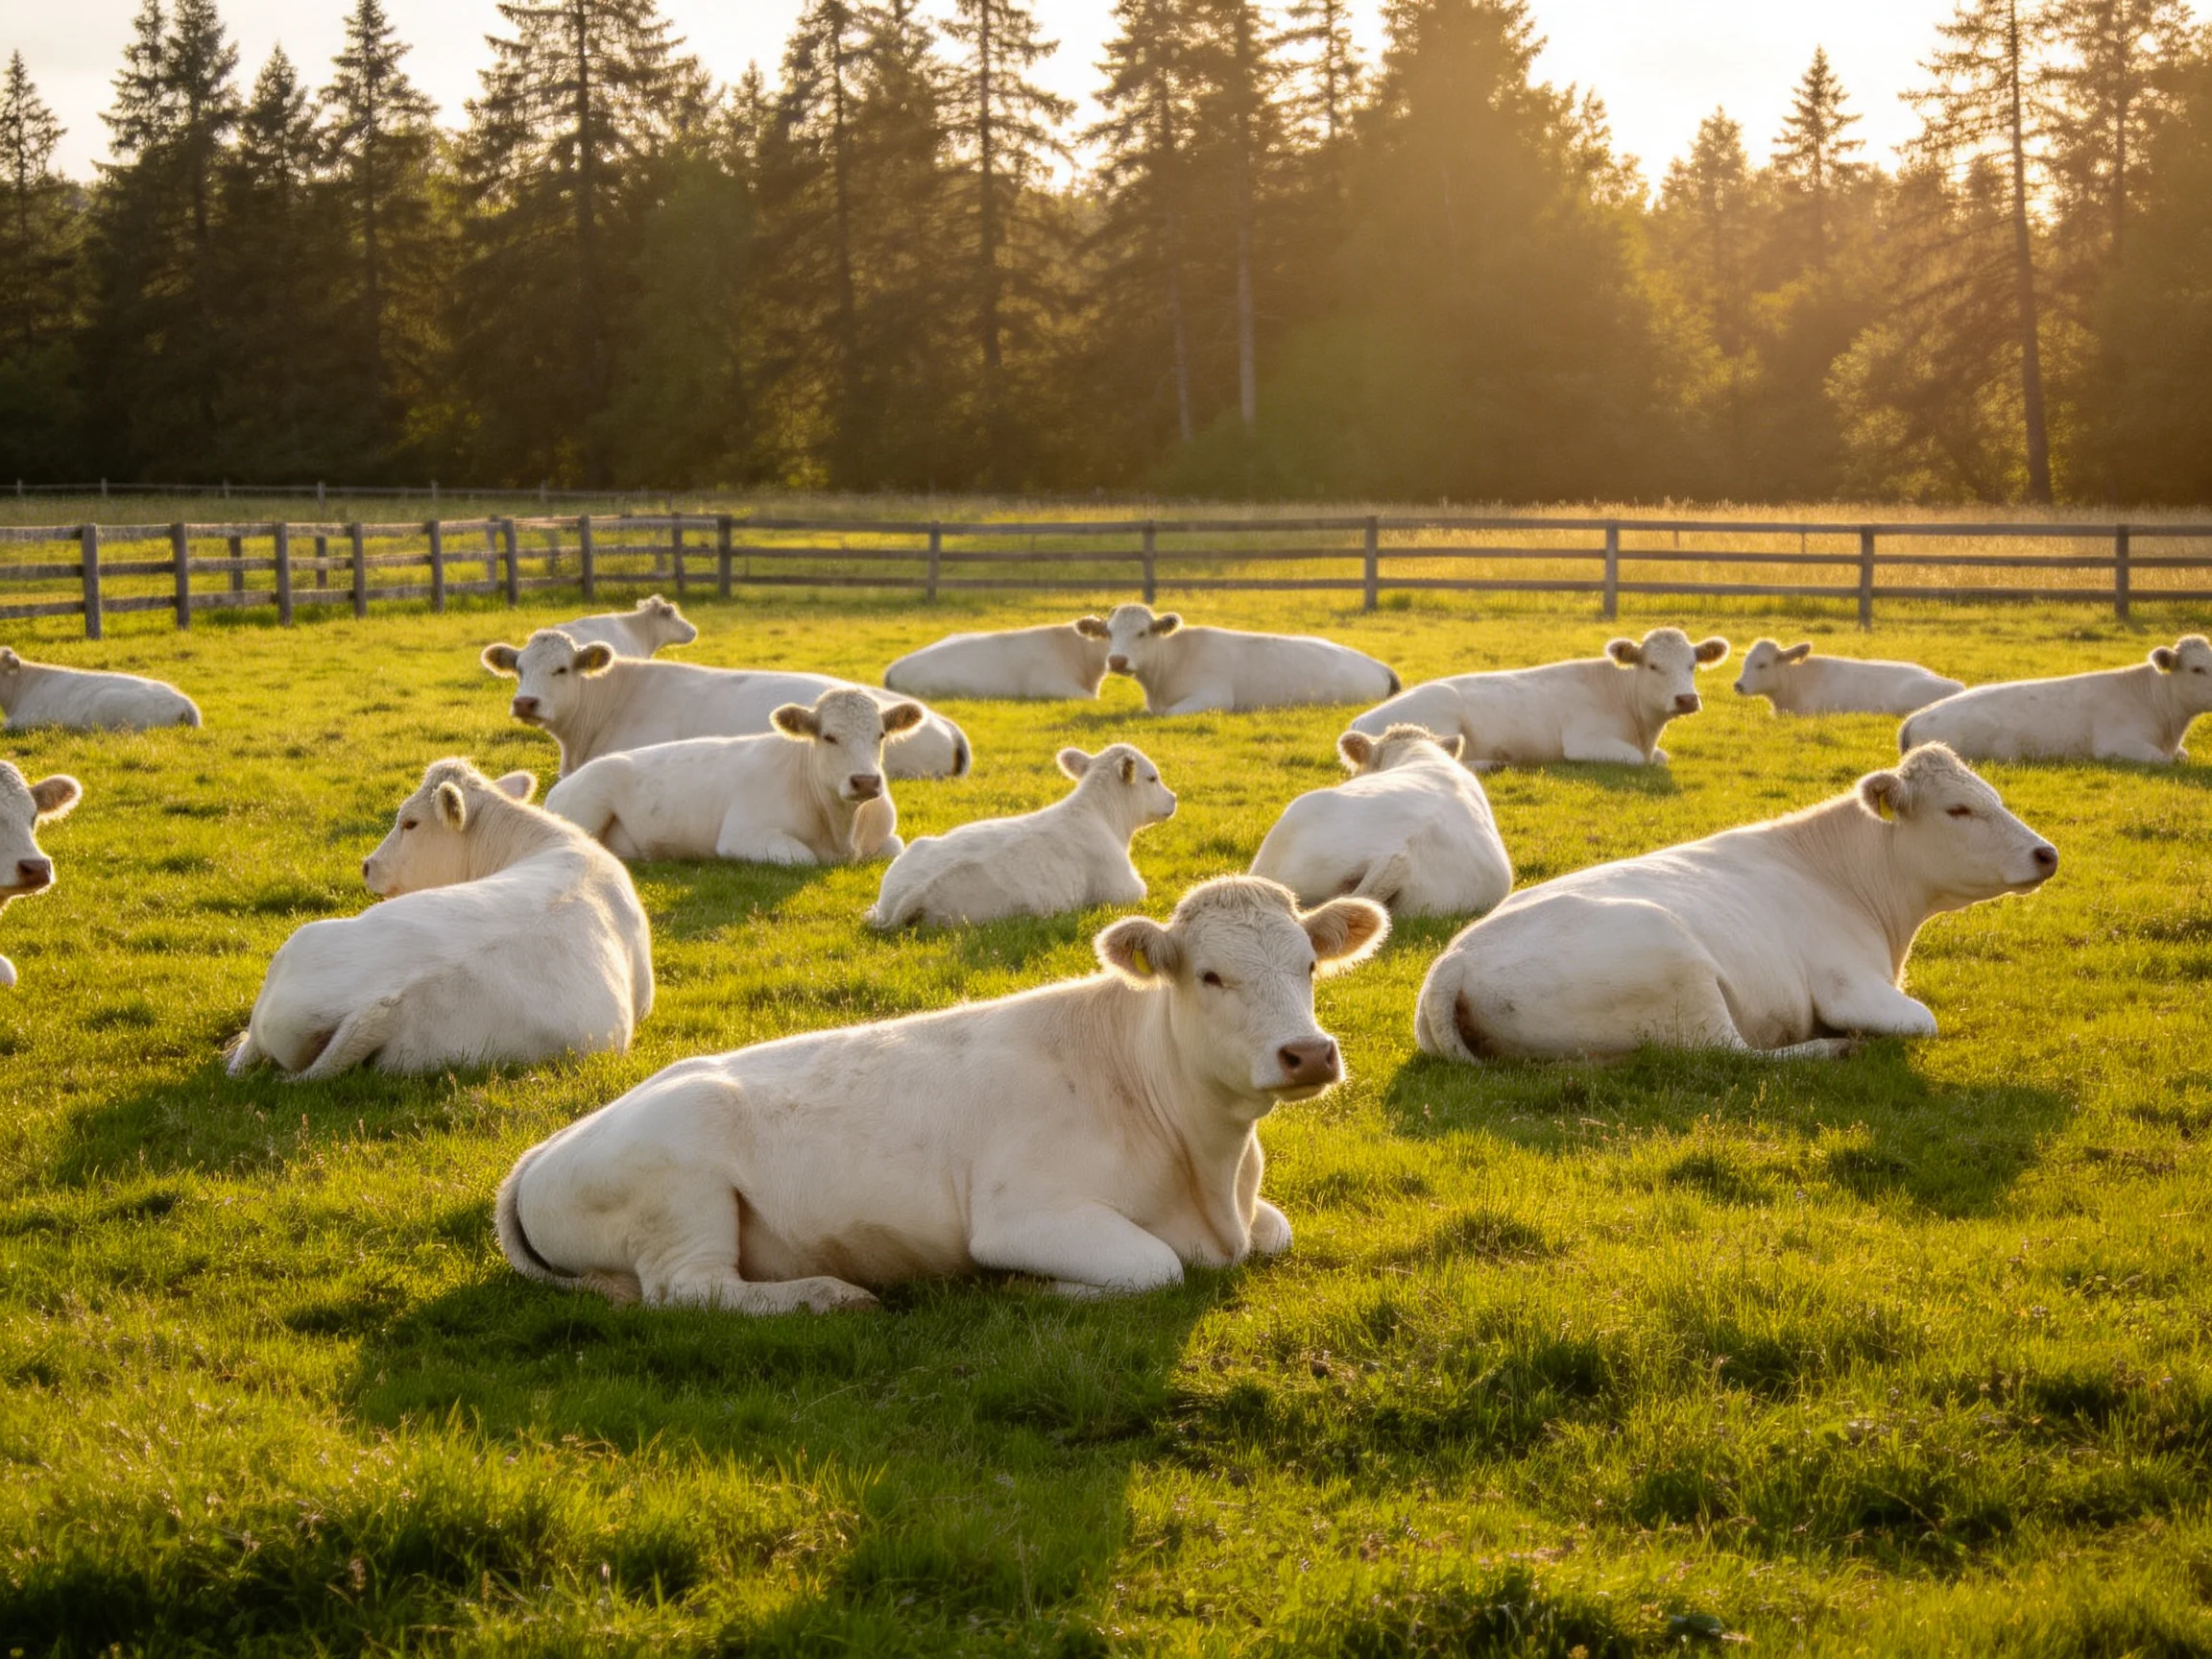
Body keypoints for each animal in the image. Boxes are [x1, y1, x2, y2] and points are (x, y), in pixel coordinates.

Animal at [494, 875, 1389, 1313]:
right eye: (1209, 975)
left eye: (1309, 964)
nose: (1308, 1053)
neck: (1210, 1173)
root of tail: (544, 1149)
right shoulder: (1025, 1215)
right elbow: (1154, 1267)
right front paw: (1031, 1288)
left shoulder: (1252, 1218)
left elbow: (1277, 1231)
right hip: (683, 1192)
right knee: (691, 1290)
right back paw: (825, 1296)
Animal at [544, 688, 924, 865]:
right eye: (829, 737)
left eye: (880, 735)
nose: (865, 781)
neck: (842, 833)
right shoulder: (743, 834)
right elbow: (803, 856)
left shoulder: (886, 838)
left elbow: (895, 848)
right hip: (589, 801)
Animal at [1350, 628, 1730, 767]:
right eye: (1653, 666)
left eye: (1693, 664)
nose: (1687, 699)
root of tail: (1361, 719)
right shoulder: (1584, 742)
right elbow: (1641, 760)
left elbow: (1662, 758)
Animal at [1414, 743, 2056, 1063]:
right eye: (1958, 809)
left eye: (1994, 797)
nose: (2046, 853)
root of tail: (1455, 960)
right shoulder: (1850, 984)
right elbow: (1923, 1021)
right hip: (1682, 980)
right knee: (1733, 1055)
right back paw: (1829, 1048)